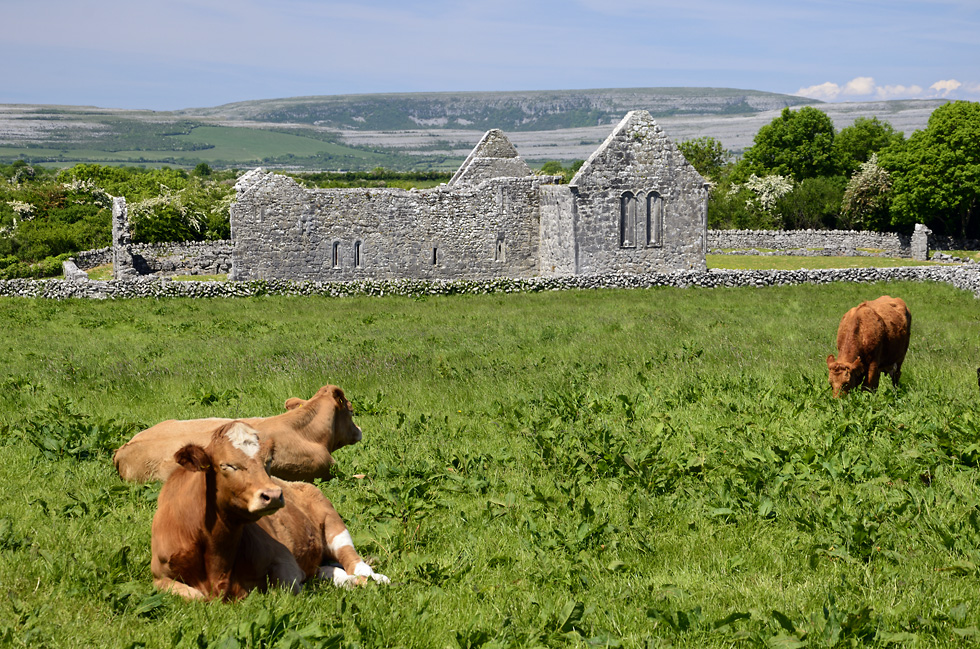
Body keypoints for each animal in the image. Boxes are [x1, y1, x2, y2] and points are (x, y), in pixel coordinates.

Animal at [151, 420, 388, 596]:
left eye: (268, 461)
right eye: (226, 465)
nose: (273, 495)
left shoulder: (284, 559)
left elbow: (288, 588)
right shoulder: (159, 576)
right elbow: (195, 595)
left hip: (332, 522)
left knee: (355, 563)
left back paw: (376, 579)